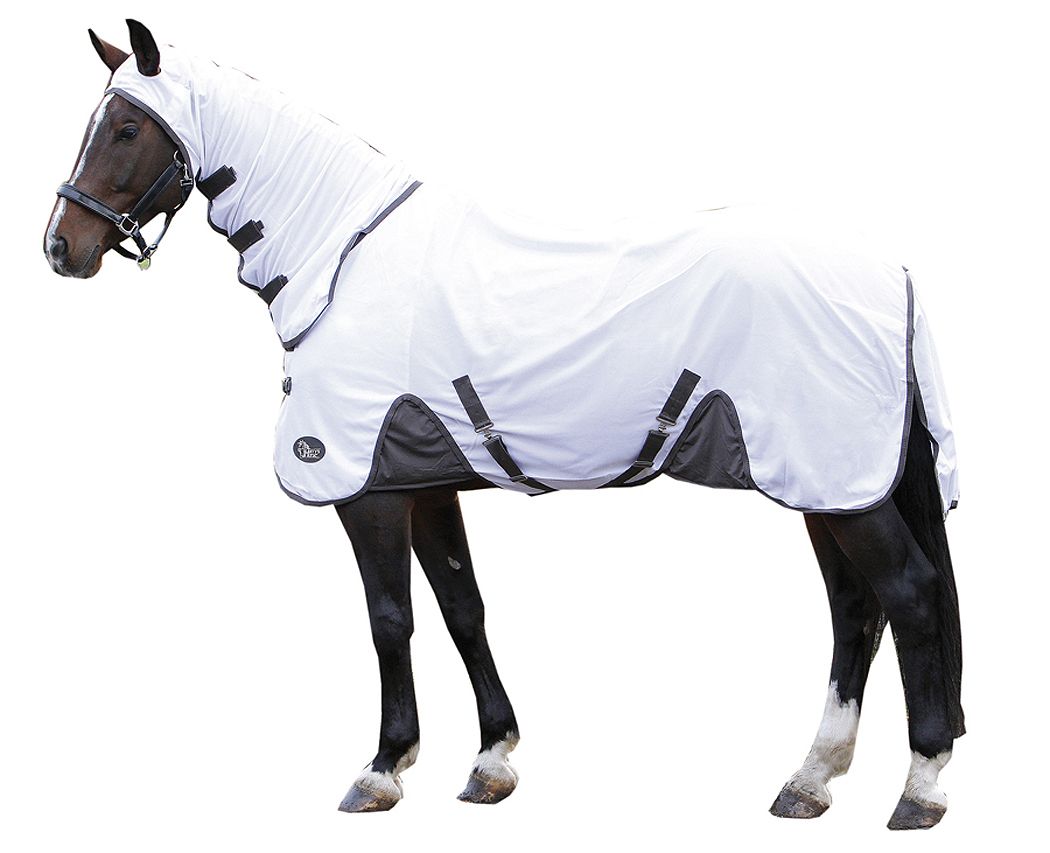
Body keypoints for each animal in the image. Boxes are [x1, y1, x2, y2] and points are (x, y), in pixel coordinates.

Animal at [43, 20, 965, 829]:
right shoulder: (422, 479)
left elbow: (390, 617)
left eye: (126, 127)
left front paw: (382, 768)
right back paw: (810, 779)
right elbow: (462, 606)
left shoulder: (365, 490)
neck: (342, 260)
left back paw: (920, 788)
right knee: (855, 608)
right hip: (828, 487)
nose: (61, 247)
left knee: (909, 594)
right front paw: (491, 761)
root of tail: (895, 273)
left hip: (836, 483)